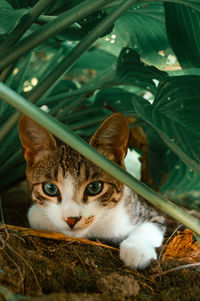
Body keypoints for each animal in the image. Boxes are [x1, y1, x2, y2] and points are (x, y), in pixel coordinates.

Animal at [18, 111, 166, 268]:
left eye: (94, 187)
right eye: (50, 188)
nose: (71, 219)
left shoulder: (148, 211)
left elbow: (152, 225)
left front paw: (137, 249)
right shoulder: (35, 214)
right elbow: (36, 216)